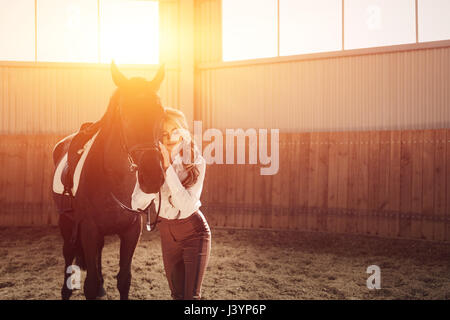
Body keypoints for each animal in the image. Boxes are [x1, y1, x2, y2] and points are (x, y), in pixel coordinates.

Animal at [52, 63, 165, 300]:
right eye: (125, 114)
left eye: (160, 113)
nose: (152, 176)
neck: (115, 179)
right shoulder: (89, 230)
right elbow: (90, 284)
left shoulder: (131, 231)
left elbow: (124, 279)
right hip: (66, 222)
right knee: (68, 253)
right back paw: (66, 290)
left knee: (99, 252)